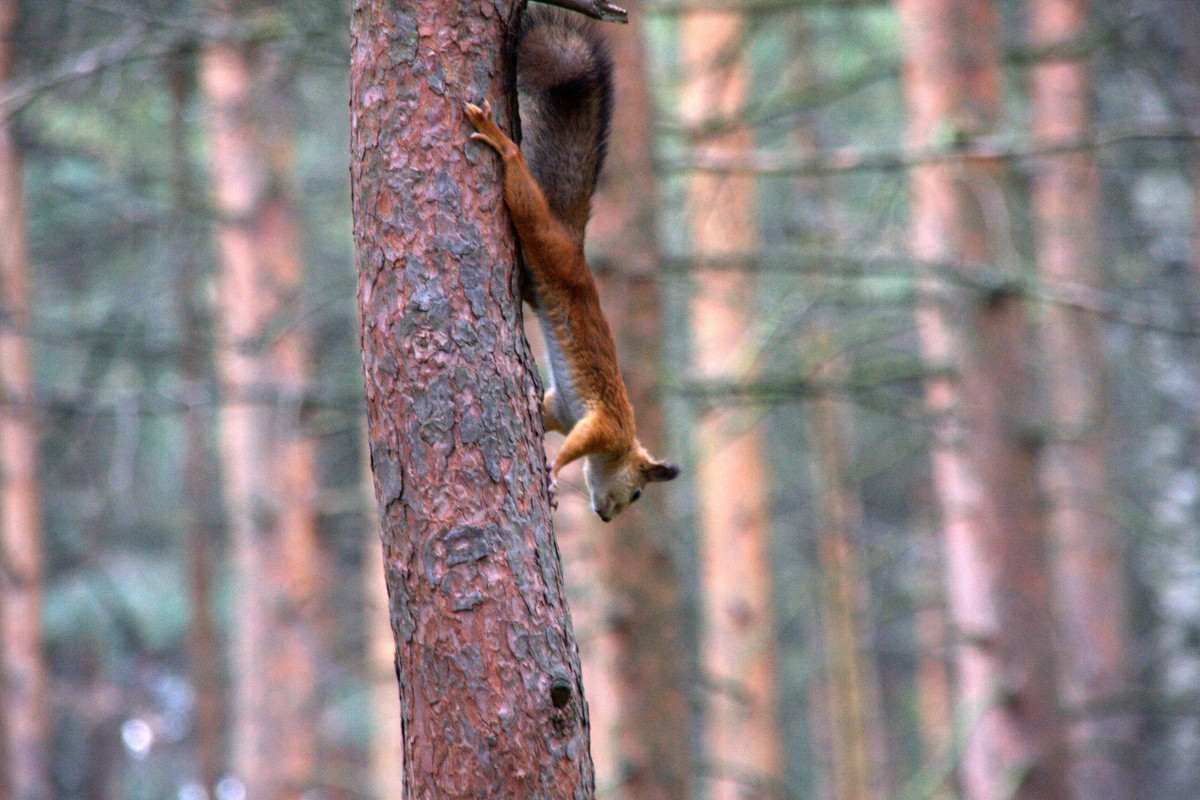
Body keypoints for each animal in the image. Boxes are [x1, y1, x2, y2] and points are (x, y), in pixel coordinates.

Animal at [465, 9, 681, 522]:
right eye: (638, 492)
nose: (605, 516)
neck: (625, 445)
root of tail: (573, 242)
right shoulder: (608, 426)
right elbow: (572, 449)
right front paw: (552, 473)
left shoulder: (561, 411)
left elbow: (546, 416)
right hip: (544, 238)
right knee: (523, 192)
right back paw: (502, 143)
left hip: (537, 270)